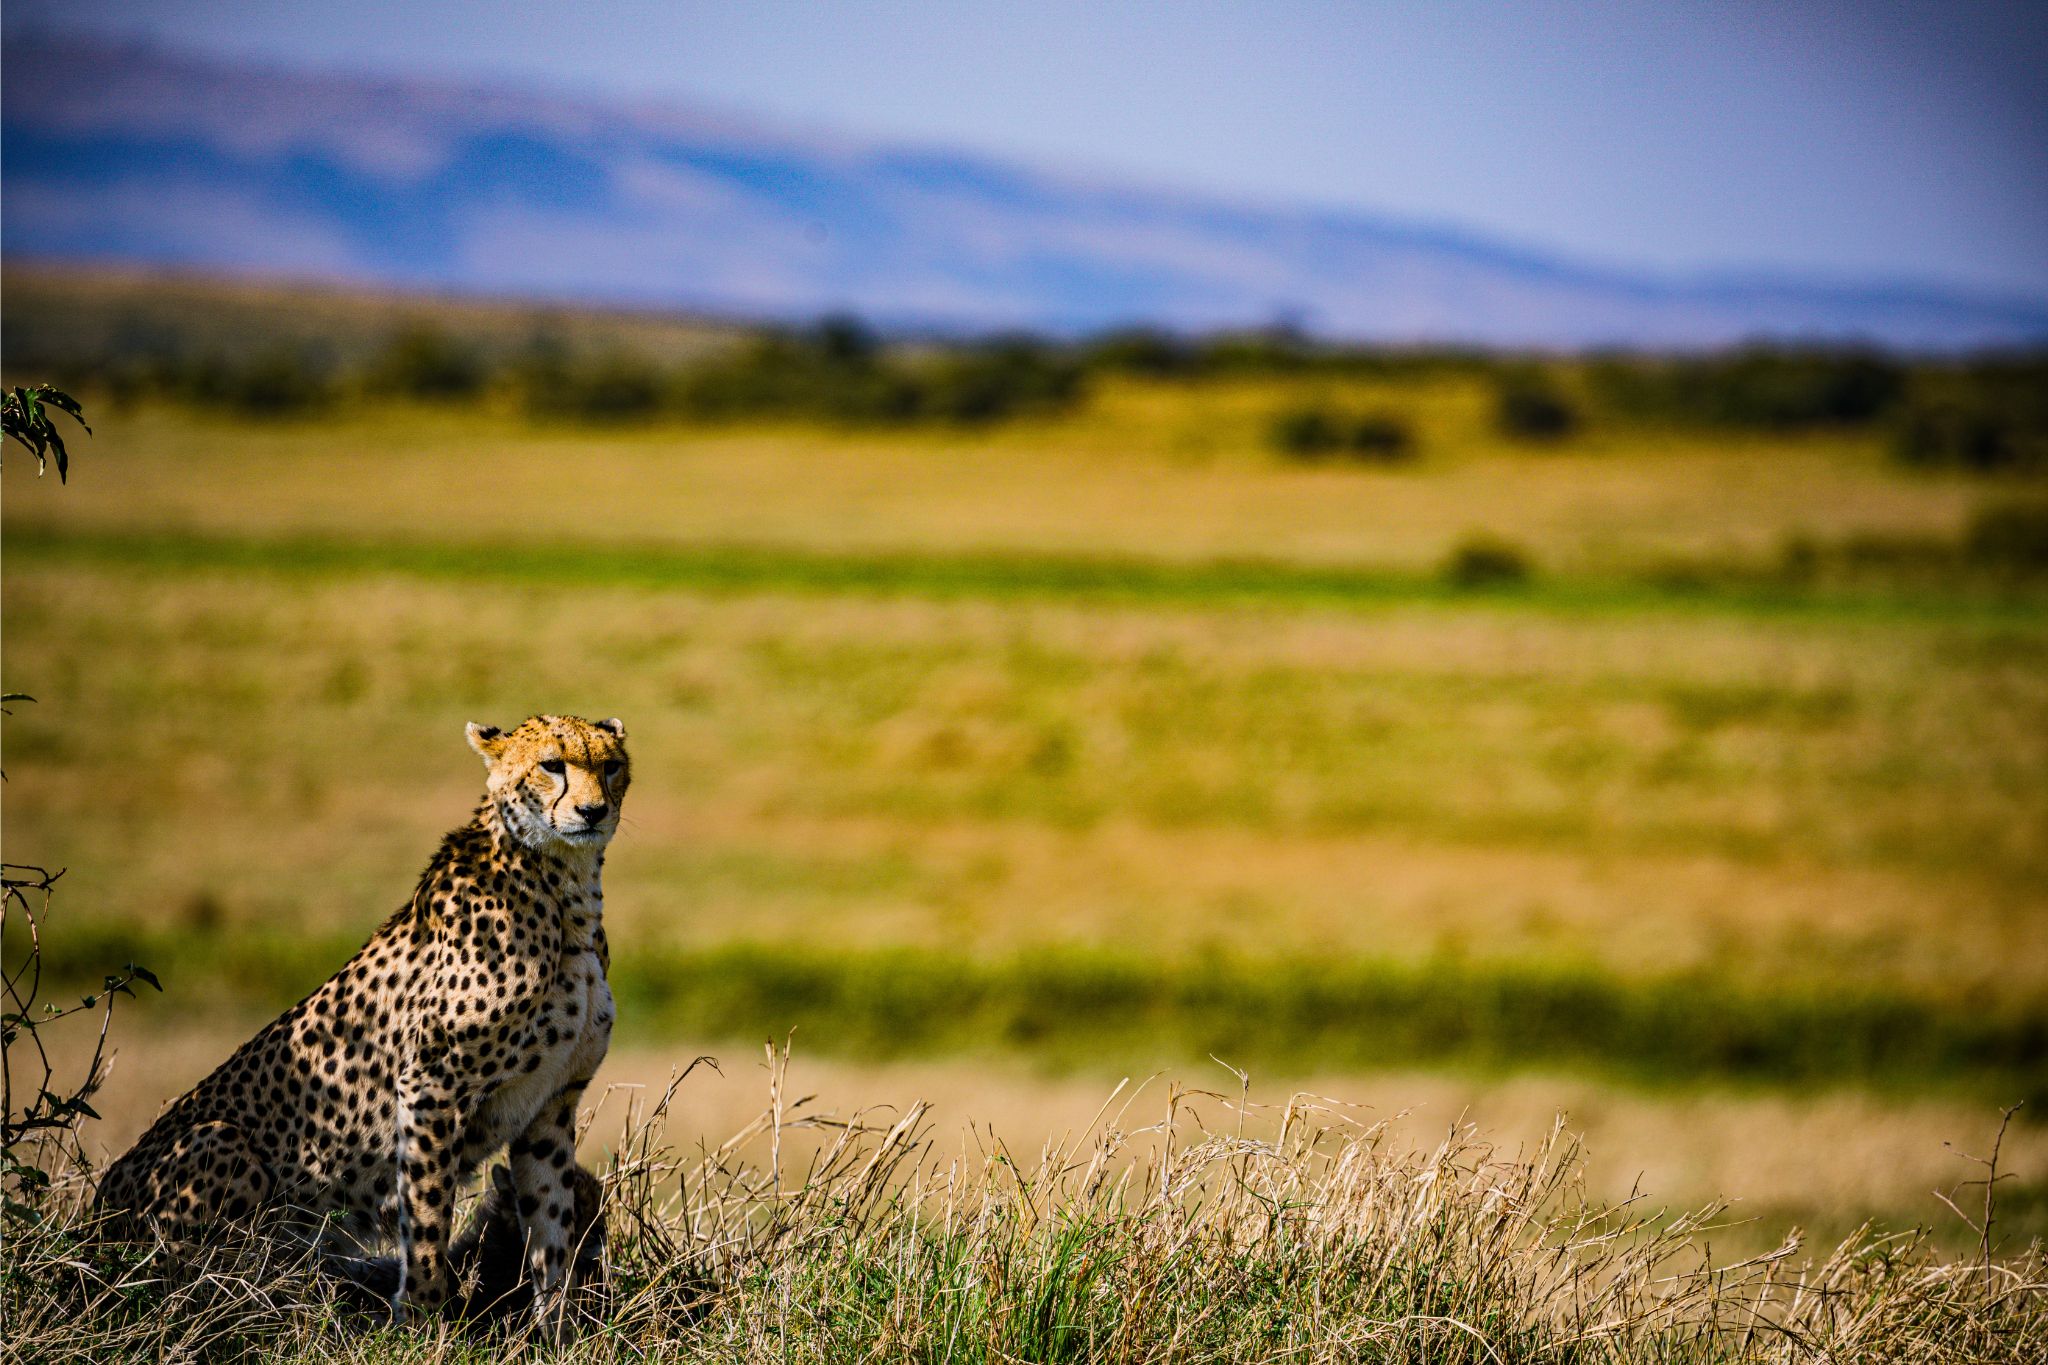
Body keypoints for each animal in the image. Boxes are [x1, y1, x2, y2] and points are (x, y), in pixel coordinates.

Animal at [93, 714, 630, 1332]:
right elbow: (427, 1218)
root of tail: (90, 1219)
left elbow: (550, 1227)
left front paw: (556, 1332)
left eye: (611, 766)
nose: (593, 811)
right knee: (204, 1280)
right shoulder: (431, 1087)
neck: (566, 893)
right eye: (552, 765)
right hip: (221, 1143)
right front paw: (420, 1321)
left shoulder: (551, 1102)